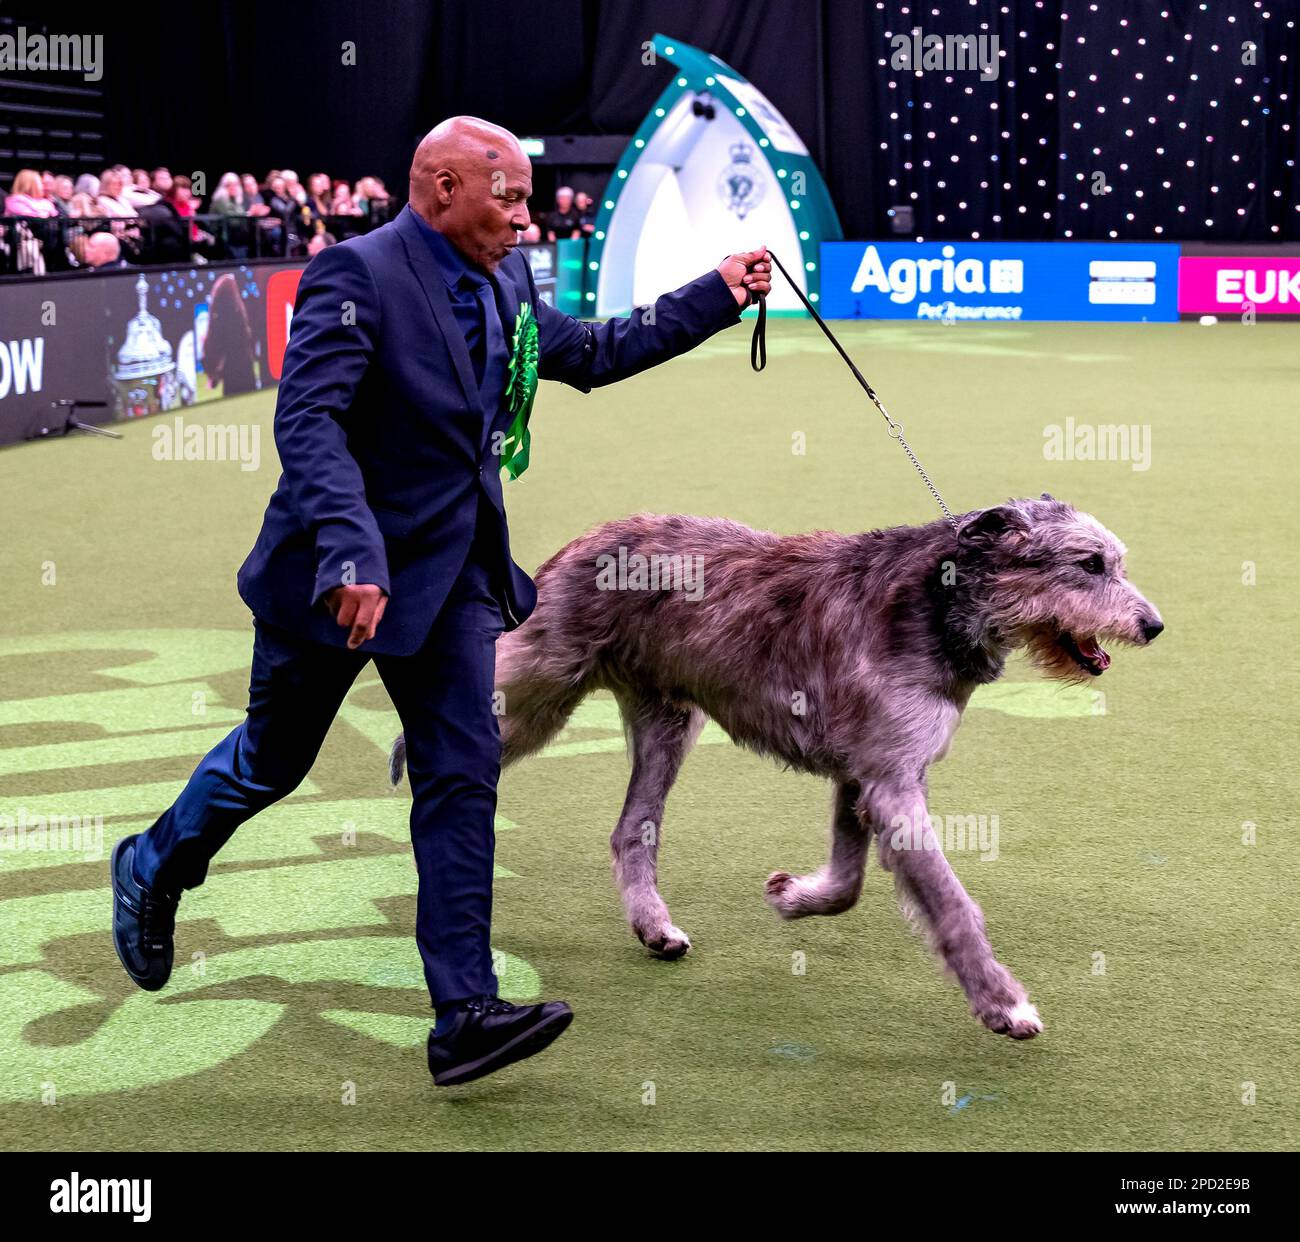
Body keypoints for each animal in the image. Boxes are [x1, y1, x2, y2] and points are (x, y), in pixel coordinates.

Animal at [387, 494, 1170, 1040]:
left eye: (1117, 561)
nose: (1154, 626)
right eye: (1089, 564)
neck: (939, 601)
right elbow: (951, 905)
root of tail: (586, 538)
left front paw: (794, 897)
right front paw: (1003, 1004)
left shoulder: (868, 773)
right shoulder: (892, 781)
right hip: (542, 683)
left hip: (668, 721)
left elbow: (850, 883)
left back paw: (653, 926)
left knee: (629, 831)